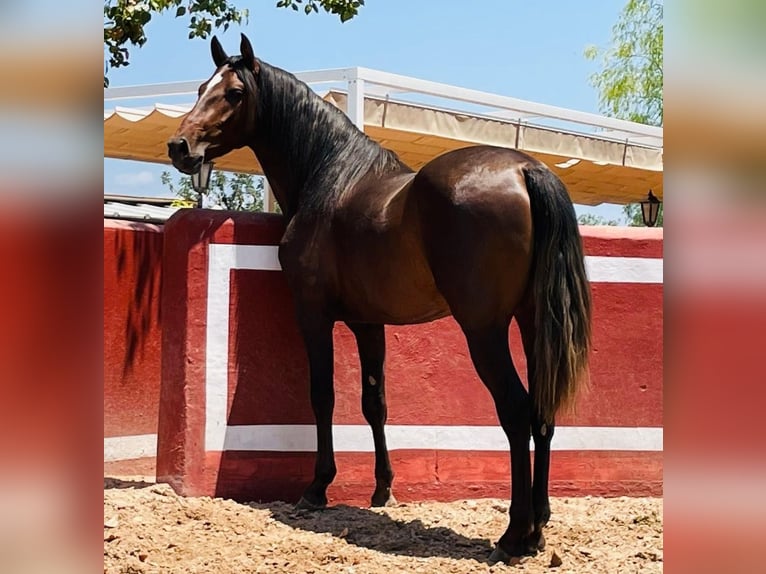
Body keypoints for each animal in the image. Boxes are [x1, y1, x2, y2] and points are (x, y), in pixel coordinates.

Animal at [170, 33, 592, 564]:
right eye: (201, 87)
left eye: (234, 93)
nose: (180, 146)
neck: (329, 179)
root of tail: (524, 169)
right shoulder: (369, 324)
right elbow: (375, 402)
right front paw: (383, 489)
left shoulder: (314, 315)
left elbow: (323, 395)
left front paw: (317, 487)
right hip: (533, 321)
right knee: (542, 412)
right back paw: (539, 526)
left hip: (485, 330)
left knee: (516, 412)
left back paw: (516, 534)